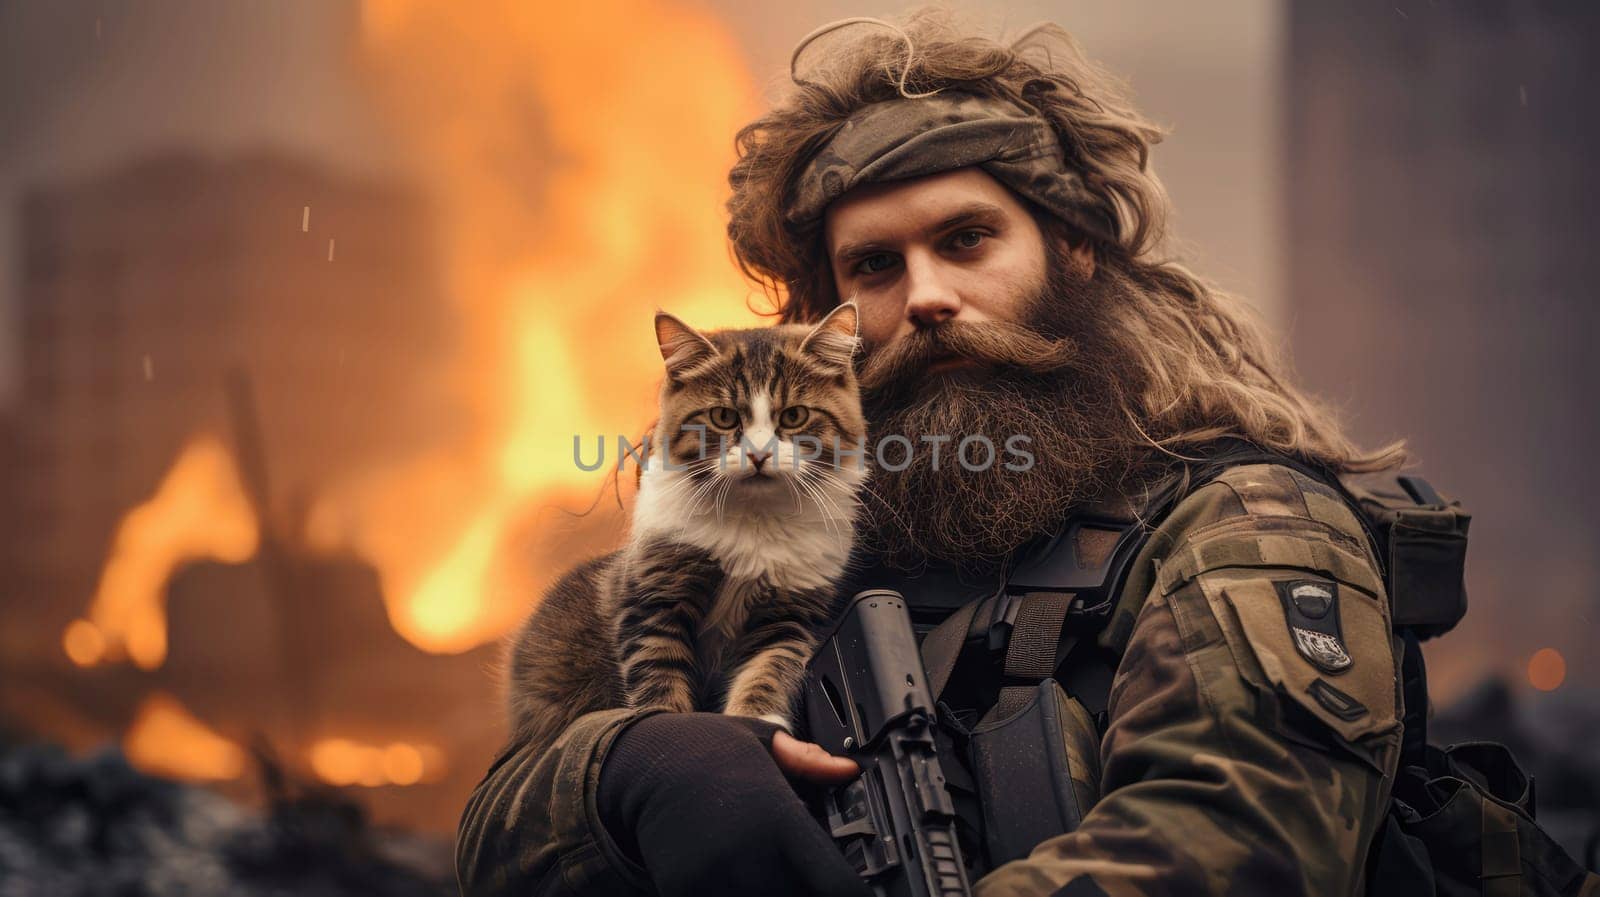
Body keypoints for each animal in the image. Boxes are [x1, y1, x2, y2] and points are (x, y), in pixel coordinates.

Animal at [508, 302, 864, 748]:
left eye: (795, 415)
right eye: (724, 417)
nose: (759, 455)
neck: (755, 519)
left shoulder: (786, 617)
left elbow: (766, 673)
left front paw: (757, 720)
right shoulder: (654, 599)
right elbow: (660, 673)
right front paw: (669, 716)